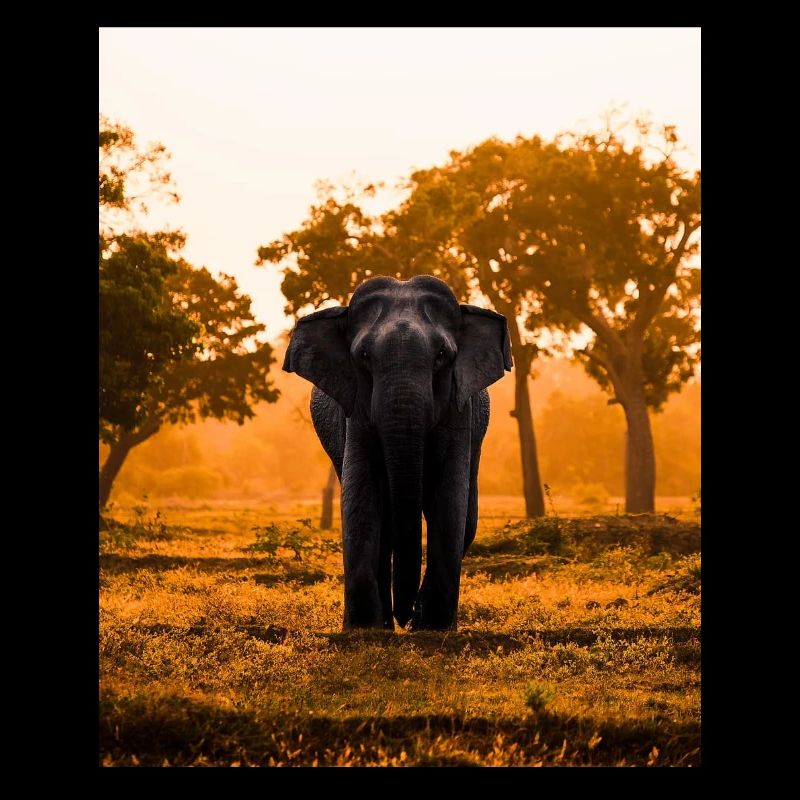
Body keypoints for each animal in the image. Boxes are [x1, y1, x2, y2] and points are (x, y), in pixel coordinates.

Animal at [283, 275, 512, 630]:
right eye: (363, 355)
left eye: (442, 355)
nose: (404, 616)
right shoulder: (355, 413)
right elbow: (361, 495)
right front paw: (364, 629)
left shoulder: (460, 411)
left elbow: (450, 499)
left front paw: (432, 627)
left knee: (467, 518)